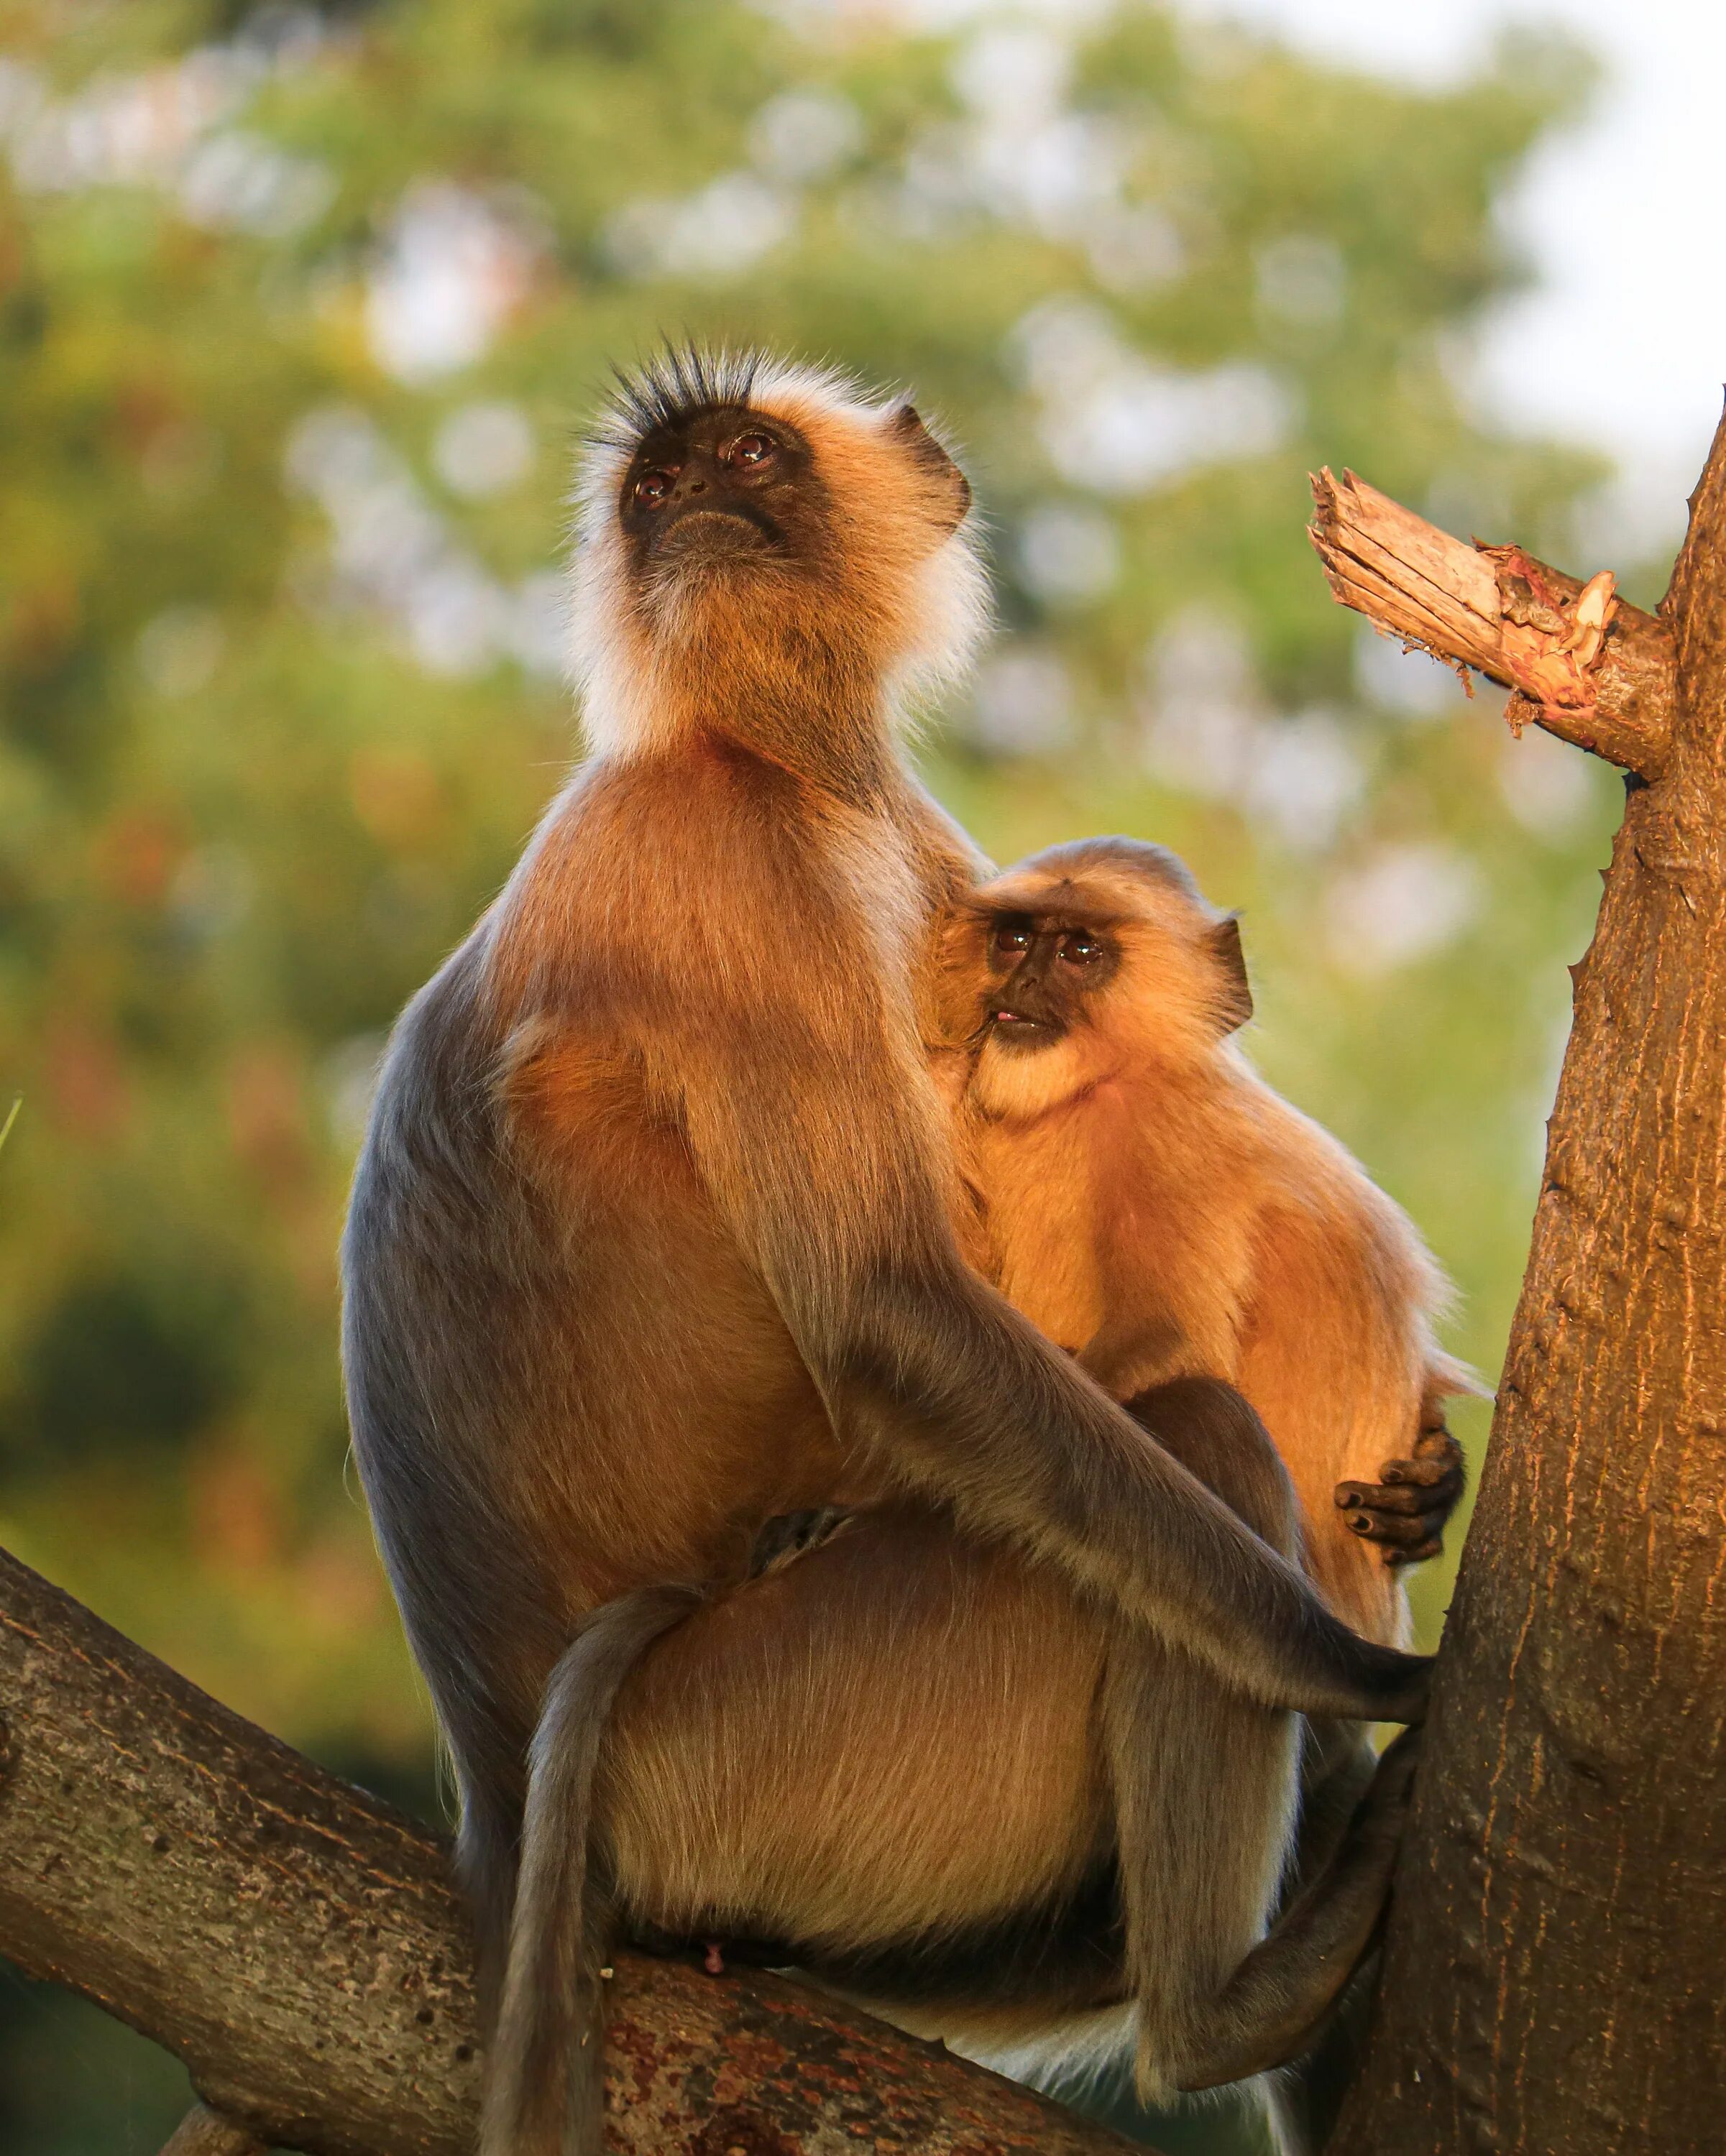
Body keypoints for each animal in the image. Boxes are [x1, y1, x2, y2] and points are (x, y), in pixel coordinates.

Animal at [341, 349, 1432, 2156]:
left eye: (746, 459)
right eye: (657, 491)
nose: (690, 509)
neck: (780, 767)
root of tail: (495, 1797)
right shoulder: (717, 871)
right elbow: (889, 1313)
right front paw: (1365, 1663)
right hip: (764, 1735)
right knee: (1203, 1439)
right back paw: (1220, 2011)